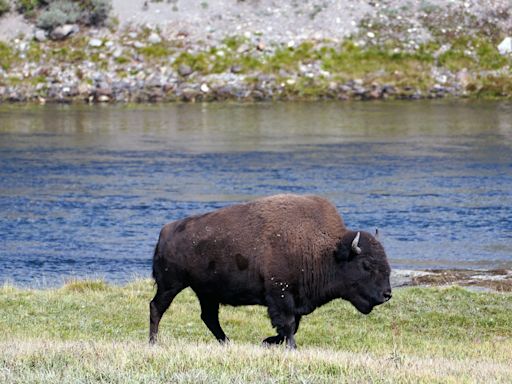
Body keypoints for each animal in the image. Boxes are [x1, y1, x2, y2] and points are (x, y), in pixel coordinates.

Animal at [150, 195, 390, 348]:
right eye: (366, 264)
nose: (387, 294)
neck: (324, 250)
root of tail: (165, 232)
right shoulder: (280, 296)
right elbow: (288, 325)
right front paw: (290, 347)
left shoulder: (294, 300)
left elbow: (291, 326)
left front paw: (267, 341)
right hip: (171, 285)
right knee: (157, 307)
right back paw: (153, 342)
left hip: (206, 292)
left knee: (209, 317)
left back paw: (227, 343)